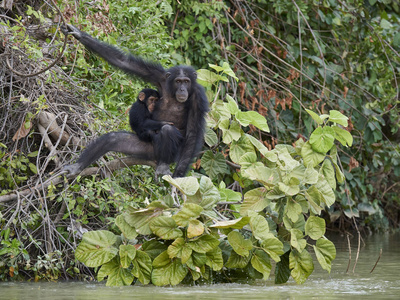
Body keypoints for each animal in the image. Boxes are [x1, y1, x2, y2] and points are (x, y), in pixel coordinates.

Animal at [61, 24, 209, 178]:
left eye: (186, 81)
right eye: (178, 81)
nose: (182, 89)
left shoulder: (198, 98)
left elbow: (192, 133)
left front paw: (178, 176)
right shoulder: (159, 76)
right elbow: (124, 62)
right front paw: (78, 34)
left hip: (173, 154)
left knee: (168, 130)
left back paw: (163, 165)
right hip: (146, 148)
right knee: (113, 139)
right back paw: (77, 167)